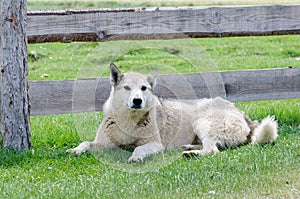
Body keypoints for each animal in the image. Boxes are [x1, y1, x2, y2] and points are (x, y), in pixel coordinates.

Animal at [67, 63, 278, 163]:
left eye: (144, 88)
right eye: (127, 88)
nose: (137, 101)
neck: (130, 120)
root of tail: (242, 113)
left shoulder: (154, 144)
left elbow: (138, 149)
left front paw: (135, 157)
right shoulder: (104, 143)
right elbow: (86, 143)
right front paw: (75, 150)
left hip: (202, 121)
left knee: (212, 149)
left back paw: (192, 154)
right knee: (212, 146)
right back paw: (188, 147)